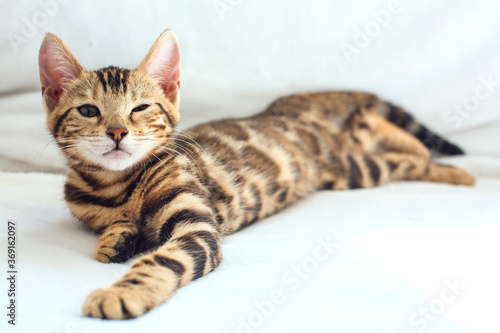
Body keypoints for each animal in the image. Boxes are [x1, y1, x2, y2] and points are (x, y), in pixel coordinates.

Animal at [37, 29, 474, 318]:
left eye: (140, 108)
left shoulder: (198, 228)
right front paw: (116, 238)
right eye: (88, 110)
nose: (116, 132)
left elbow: (162, 260)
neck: (118, 185)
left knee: (407, 151)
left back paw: (452, 170)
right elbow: (112, 229)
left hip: (348, 167)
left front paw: (123, 291)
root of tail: (288, 106)